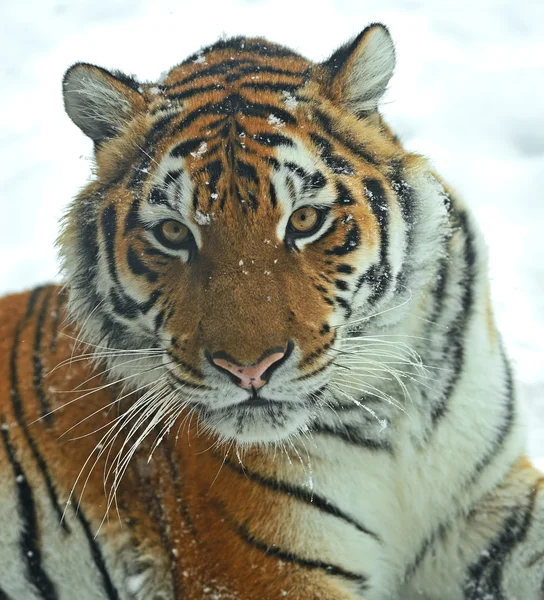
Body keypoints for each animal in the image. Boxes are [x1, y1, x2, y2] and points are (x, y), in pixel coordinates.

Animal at [1, 19, 544, 600]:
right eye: (173, 232)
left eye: (304, 220)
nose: (248, 370)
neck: (390, 414)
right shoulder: (271, 568)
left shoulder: (488, 508)